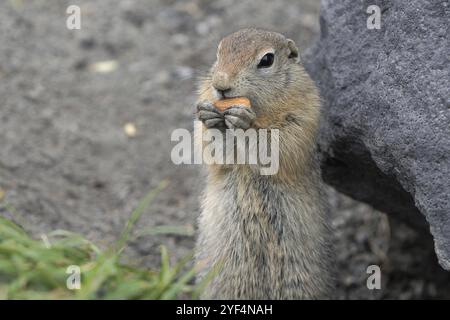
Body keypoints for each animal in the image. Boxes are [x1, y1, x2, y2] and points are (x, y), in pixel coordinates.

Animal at [194, 28, 334, 298]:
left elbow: (278, 146)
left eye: (267, 60)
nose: (220, 85)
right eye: (219, 52)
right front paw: (211, 118)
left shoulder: (303, 113)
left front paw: (243, 120)